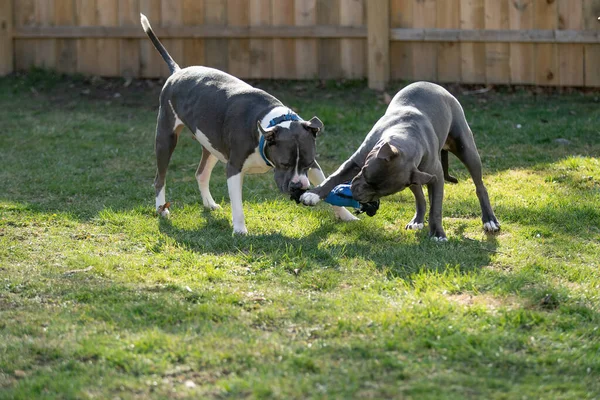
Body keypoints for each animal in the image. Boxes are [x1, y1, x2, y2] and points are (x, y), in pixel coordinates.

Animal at [141, 14, 356, 234]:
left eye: (307, 162)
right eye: (284, 164)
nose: (299, 186)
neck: (269, 124)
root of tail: (177, 71)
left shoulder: (313, 166)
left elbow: (325, 184)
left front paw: (345, 215)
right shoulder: (234, 168)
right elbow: (237, 205)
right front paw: (239, 230)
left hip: (211, 143)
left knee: (201, 173)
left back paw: (209, 203)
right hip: (165, 138)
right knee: (160, 178)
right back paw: (162, 209)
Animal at [300, 80, 502, 238]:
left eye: (382, 193)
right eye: (364, 172)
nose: (355, 193)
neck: (406, 135)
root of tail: (436, 86)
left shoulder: (435, 177)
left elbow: (436, 207)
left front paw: (437, 233)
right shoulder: (356, 162)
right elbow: (333, 178)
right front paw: (313, 194)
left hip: (465, 150)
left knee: (480, 187)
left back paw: (489, 220)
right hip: (415, 178)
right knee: (420, 197)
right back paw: (417, 220)